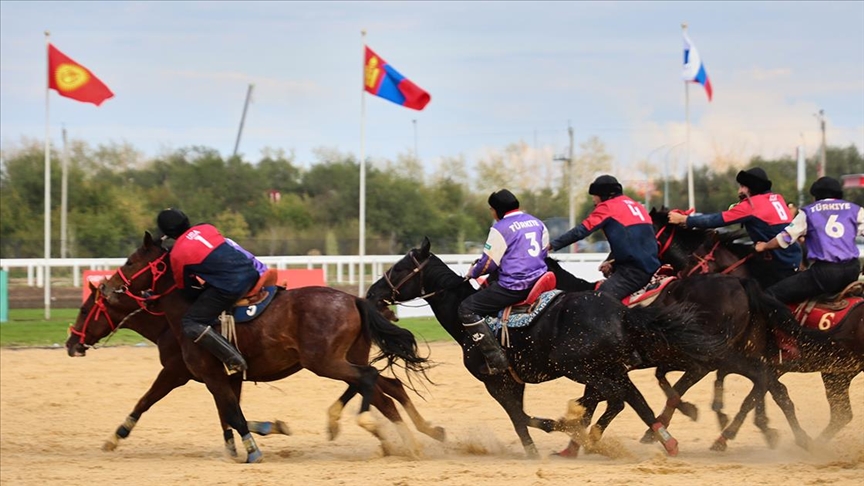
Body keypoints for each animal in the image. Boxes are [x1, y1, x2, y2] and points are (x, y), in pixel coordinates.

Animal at [93, 232, 438, 464]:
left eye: (131, 261)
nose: (107, 287)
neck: (184, 310)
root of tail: (355, 299)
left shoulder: (206, 373)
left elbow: (232, 414)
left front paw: (254, 447)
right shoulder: (222, 376)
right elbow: (230, 413)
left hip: (324, 362)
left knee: (369, 378)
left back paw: (376, 427)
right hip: (341, 359)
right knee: (382, 387)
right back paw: (409, 439)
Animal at [364, 237, 728, 458]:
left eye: (400, 267)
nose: (372, 292)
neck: (463, 315)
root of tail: (620, 311)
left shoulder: (497, 382)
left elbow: (518, 417)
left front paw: (539, 445)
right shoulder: (514, 380)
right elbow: (522, 415)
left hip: (583, 368)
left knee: (619, 398)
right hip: (606, 368)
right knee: (632, 399)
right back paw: (661, 440)